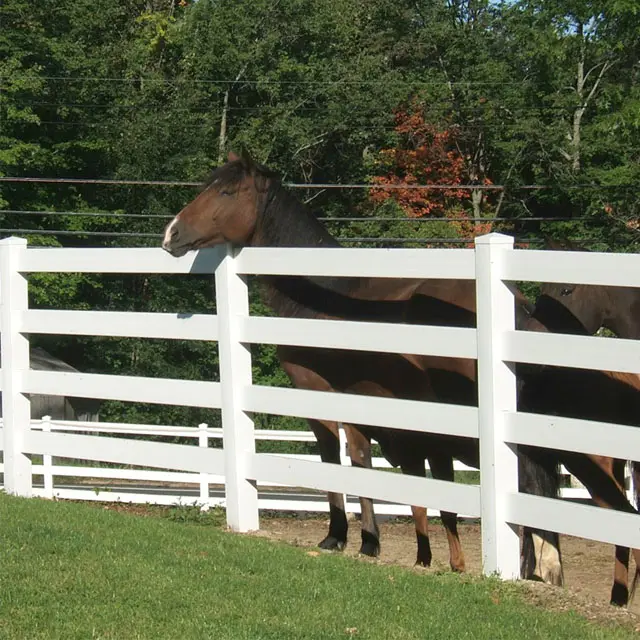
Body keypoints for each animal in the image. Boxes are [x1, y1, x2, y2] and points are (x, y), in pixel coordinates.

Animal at [162, 150, 640, 600]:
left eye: (226, 192)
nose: (171, 234)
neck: (325, 295)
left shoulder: (321, 396)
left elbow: (339, 462)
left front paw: (343, 537)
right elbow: (372, 466)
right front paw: (379, 544)